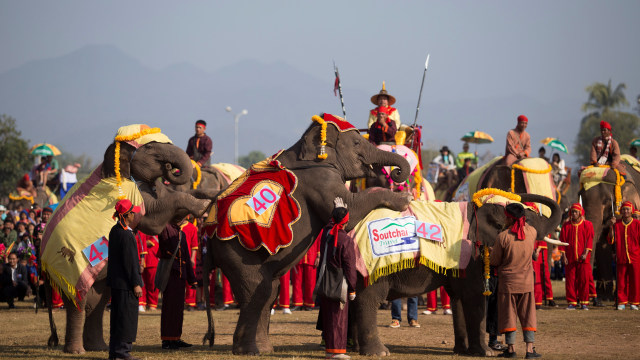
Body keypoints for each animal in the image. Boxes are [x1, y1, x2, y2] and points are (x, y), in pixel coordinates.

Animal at [44, 125, 210, 352]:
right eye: (149, 147)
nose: (169, 166)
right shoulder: (134, 195)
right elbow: (156, 219)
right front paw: (204, 206)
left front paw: (209, 200)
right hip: (69, 270)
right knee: (79, 304)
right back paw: (77, 350)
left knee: (98, 301)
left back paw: (99, 347)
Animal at [204, 113, 416, 354]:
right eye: (356, 143)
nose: (397, 174)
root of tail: (207, 237)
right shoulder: (321, 178)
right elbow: (350, 210)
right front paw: (406, 199)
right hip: (236, 252)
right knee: (257, 292)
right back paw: (250, 351)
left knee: (268, 291)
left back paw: (264, 349)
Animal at [348, 193, 564, 356]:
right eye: (528, 221)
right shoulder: (471, 253)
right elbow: (475, 296)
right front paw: (485, 353)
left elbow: (459, 297)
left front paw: (462, 351)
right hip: (371, 262)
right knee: (368, 298)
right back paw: (379, 352)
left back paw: (355, 349)